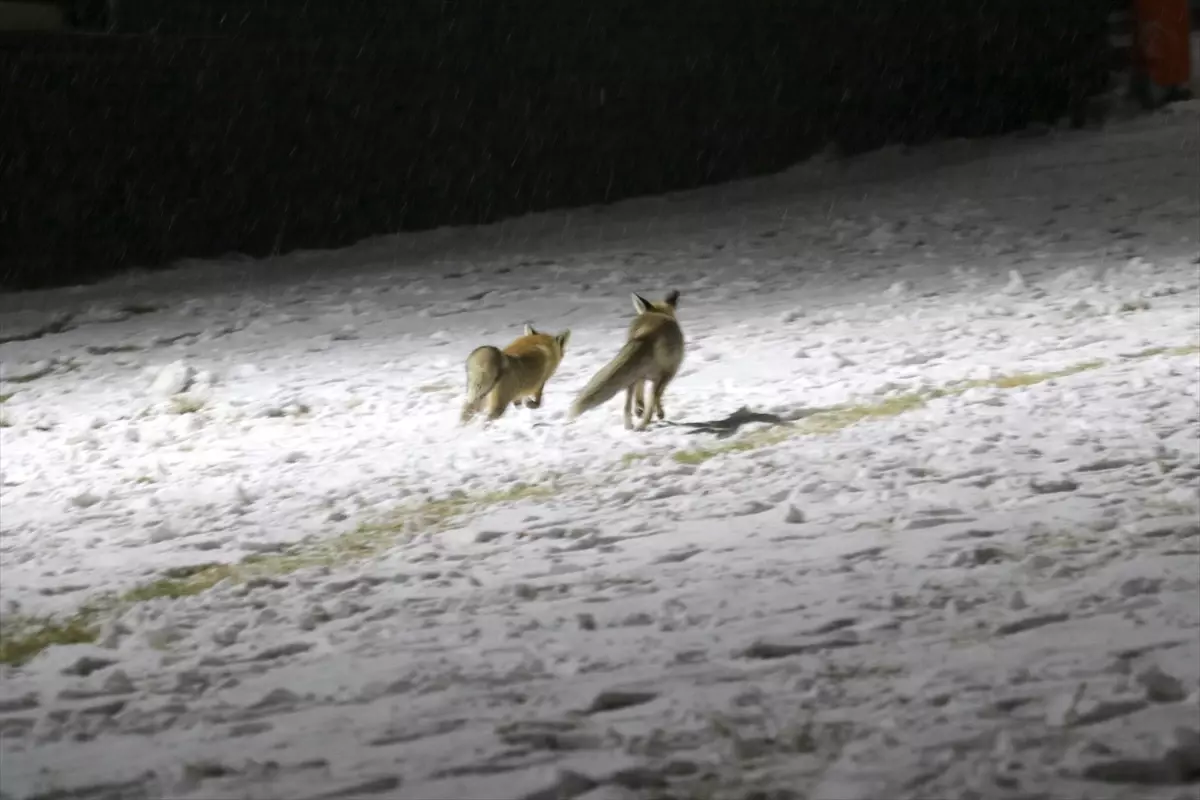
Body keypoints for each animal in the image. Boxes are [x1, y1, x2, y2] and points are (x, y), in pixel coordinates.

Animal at [568, 291, 686, 431]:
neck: (658, 313)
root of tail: (646, 333)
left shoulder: (641, 375)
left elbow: (640, 395)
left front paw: (640, 409)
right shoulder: (663, 376)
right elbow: (657, 397)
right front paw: (659, 413)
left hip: (632, 377)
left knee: (627, 406)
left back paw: (630, 426)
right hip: (666, 373)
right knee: (650, 403)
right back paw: (642, 425)